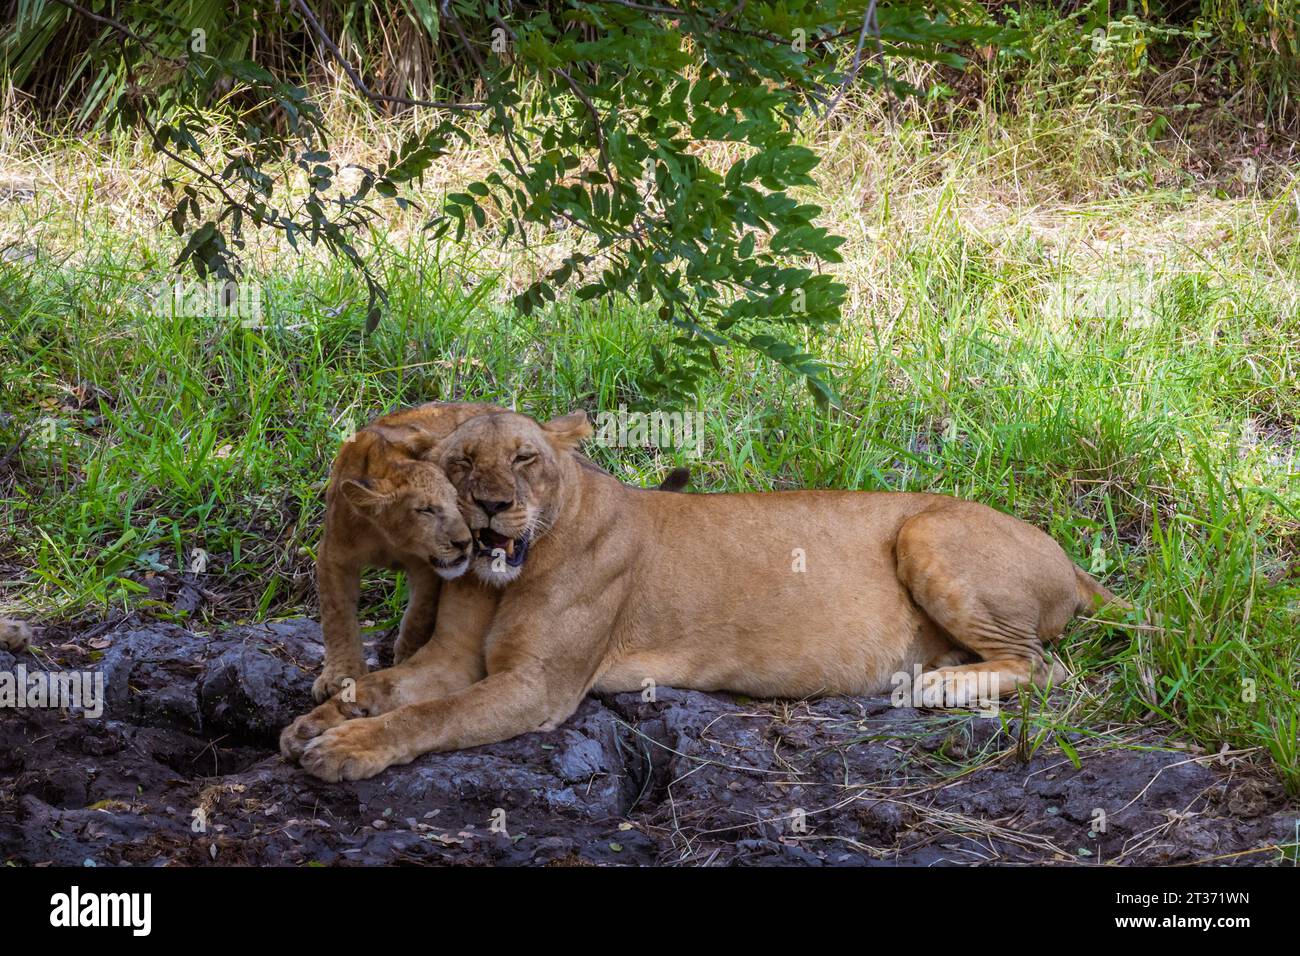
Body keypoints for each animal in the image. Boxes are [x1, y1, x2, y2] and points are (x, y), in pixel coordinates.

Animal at [283, 409, 1129, 781]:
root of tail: (1068, 556)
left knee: (1046, 667)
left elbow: (433, 714)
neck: (508, 577)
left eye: (524, 459)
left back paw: (935, 685)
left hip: (927, 530)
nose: (489, 509)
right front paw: (319, 720)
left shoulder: (538, 686)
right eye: (460, 466)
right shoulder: (456, 657)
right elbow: (388, 686)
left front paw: (349, 749)